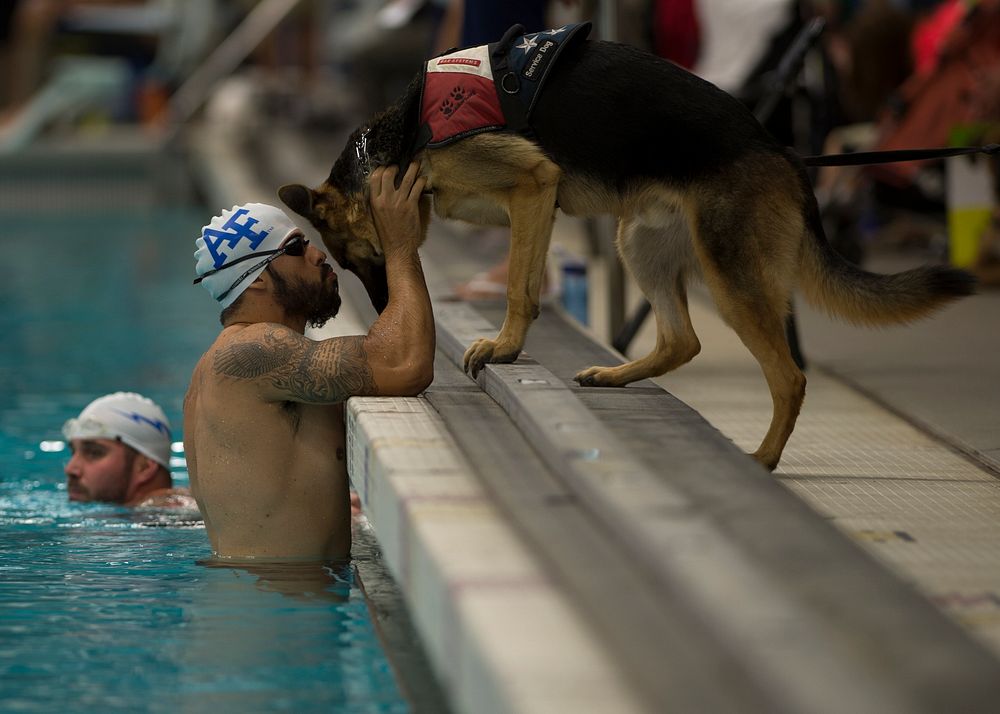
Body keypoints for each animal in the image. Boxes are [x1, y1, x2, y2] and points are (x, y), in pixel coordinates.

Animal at [278, 30, 972, 470]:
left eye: (357, 260)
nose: (381, 309)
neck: (400, 141)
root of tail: (783, 150)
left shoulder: (532, 185)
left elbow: (520, 287)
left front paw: (504, 346)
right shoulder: (537, 204)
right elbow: (527, 277)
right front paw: (512, 346)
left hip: (730, 278)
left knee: (790, 377)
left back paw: (764, 458)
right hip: (638, 241)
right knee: (681, 340)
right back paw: (614, 375)